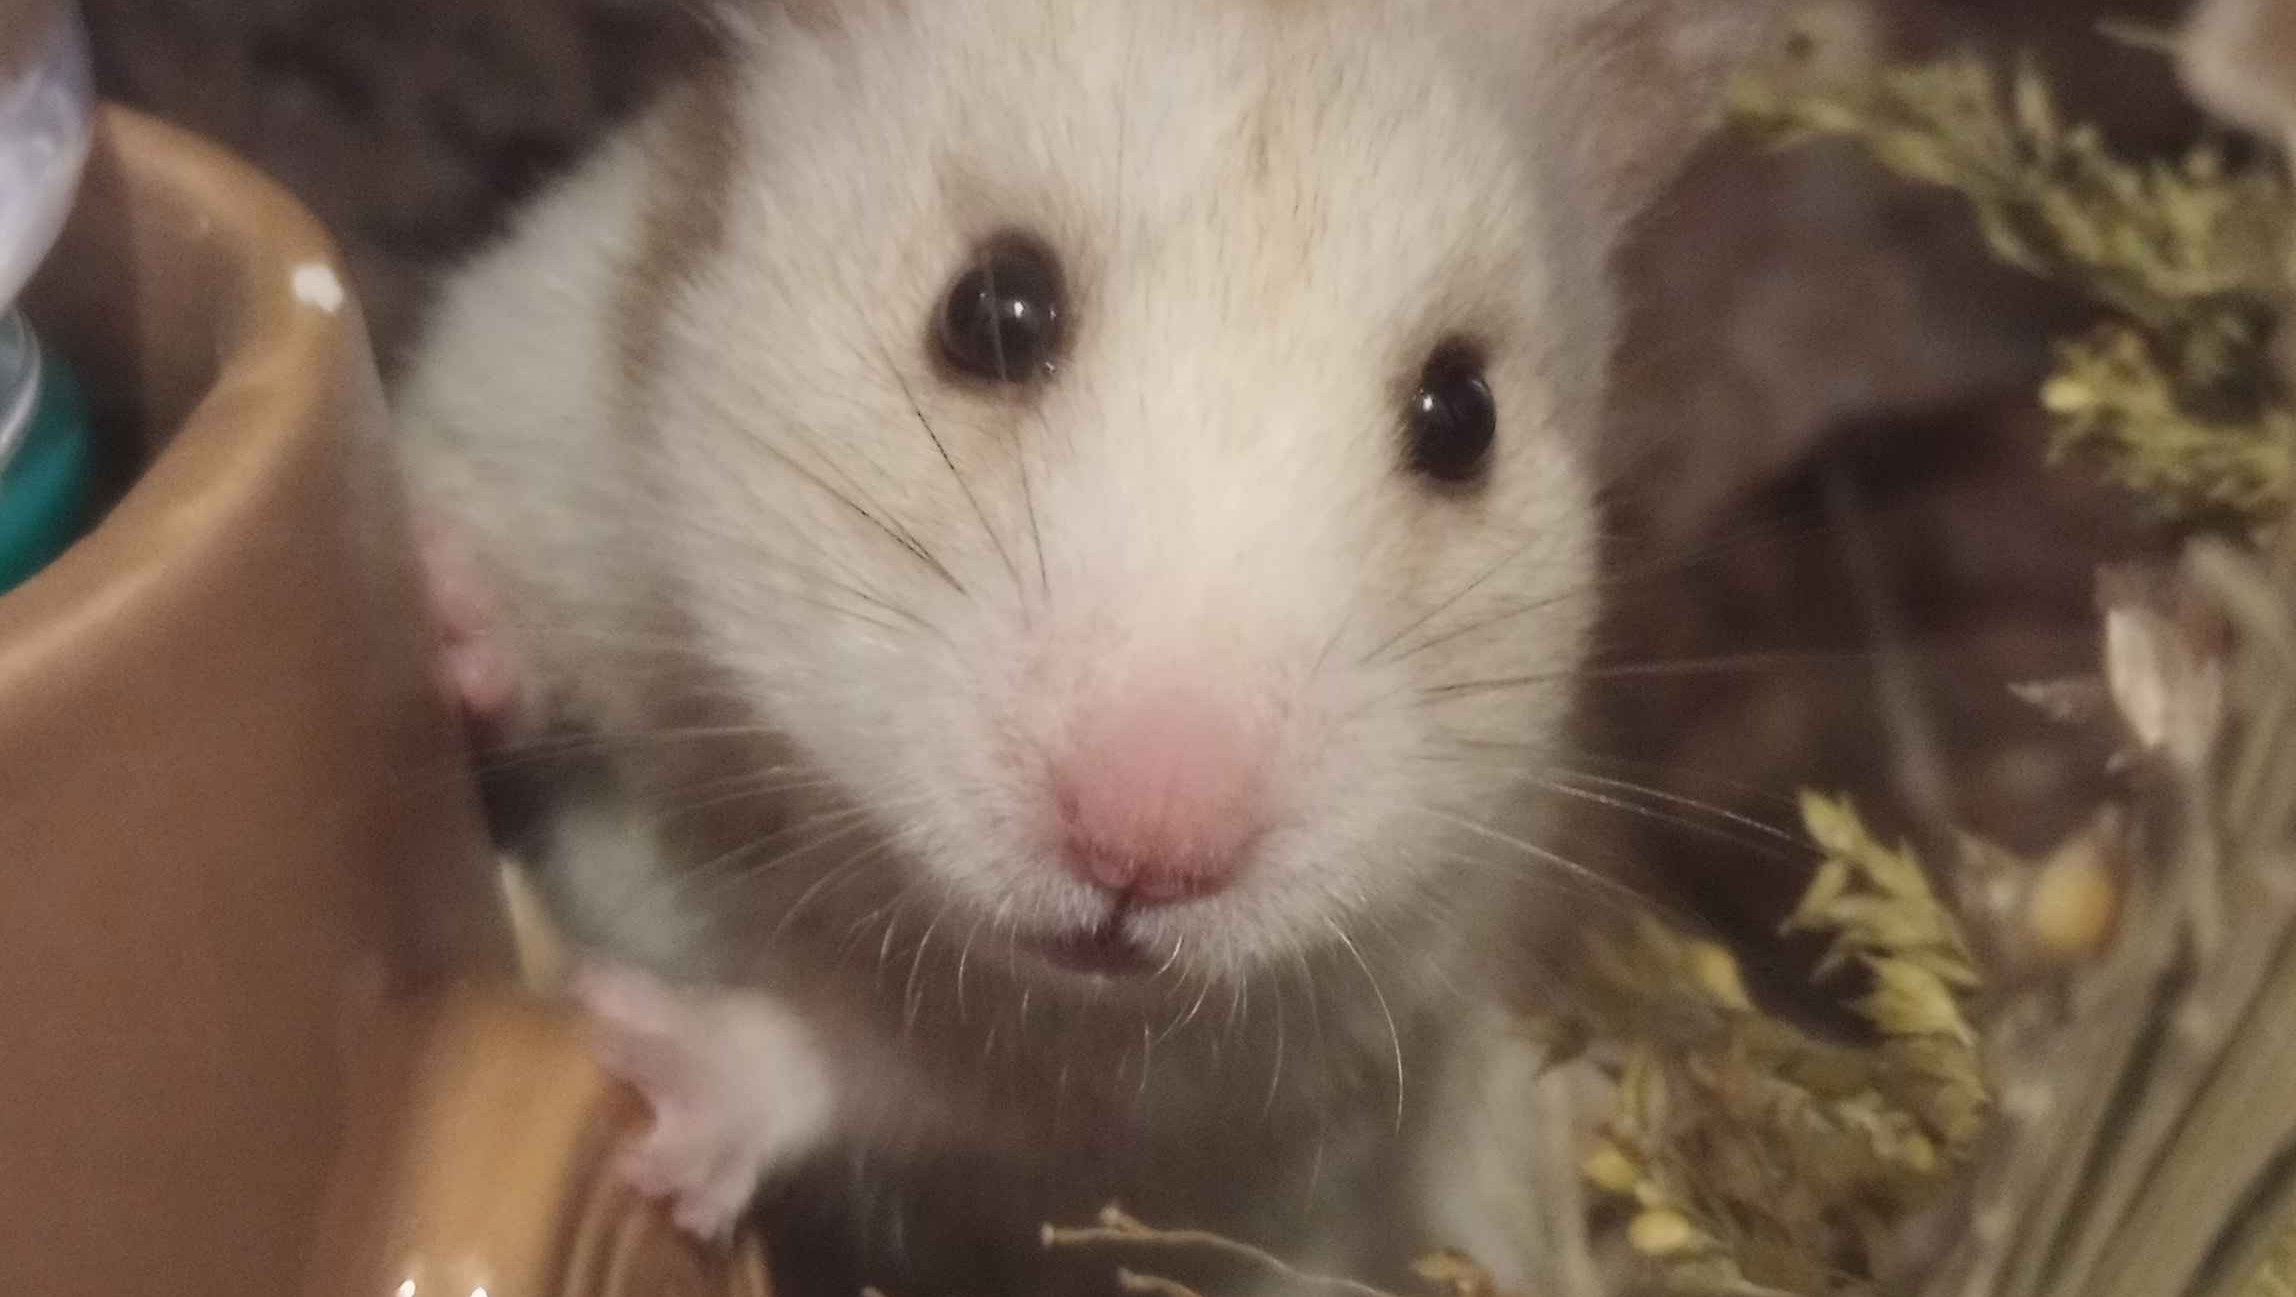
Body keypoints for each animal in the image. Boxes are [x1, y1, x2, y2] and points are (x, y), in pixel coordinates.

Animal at [390, 1, 1780, 1292]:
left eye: (1463, 415)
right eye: (992, 308)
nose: (1144, 857)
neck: (815, 829)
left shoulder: (1173, 1088)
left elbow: (861, 1064)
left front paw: (634, 1056)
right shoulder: (544, 401)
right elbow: (509, 576)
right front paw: (431, 585)